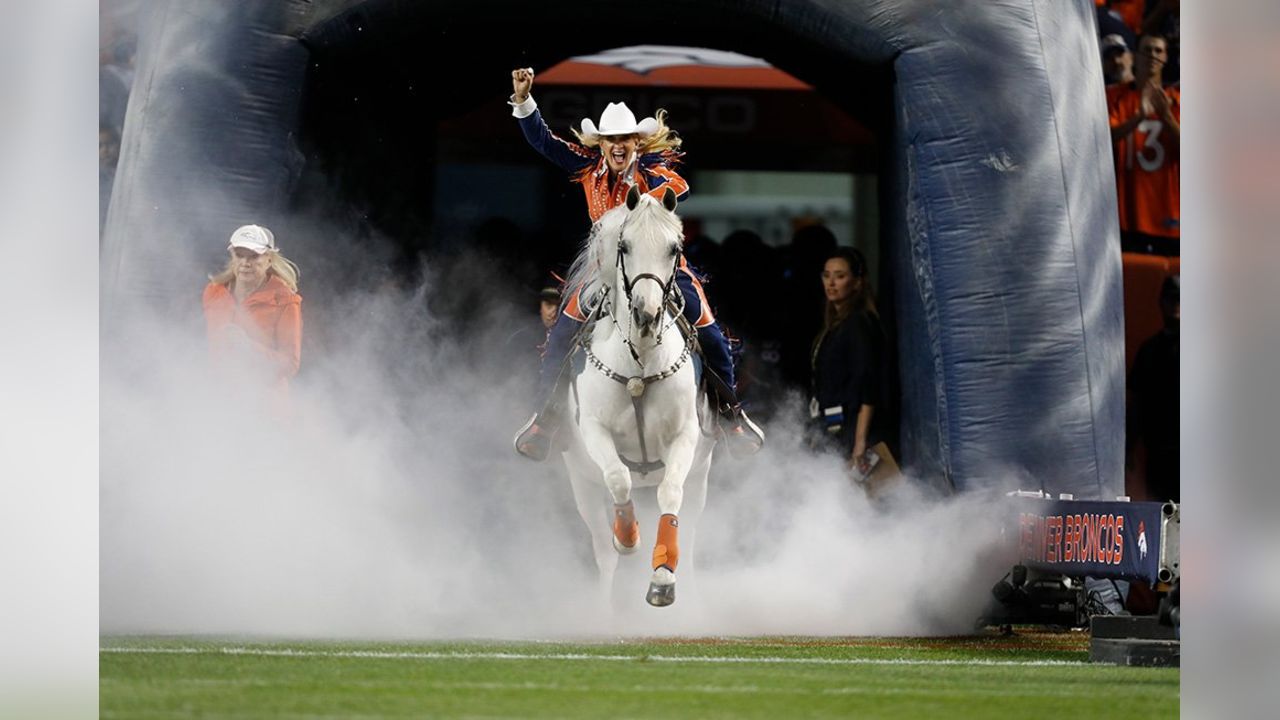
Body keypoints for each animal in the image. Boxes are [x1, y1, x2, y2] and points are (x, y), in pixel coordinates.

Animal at [563, 185, 721, 604]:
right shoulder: (594, 431)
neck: (641, 365)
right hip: (581, 483)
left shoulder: (685, 436)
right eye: (625, 246)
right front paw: (628, 536)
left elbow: (670, 493)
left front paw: (663, 578)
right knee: (603, 551)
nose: (646, 314)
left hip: (701, 478)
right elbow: (619, 479)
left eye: (674, 248)